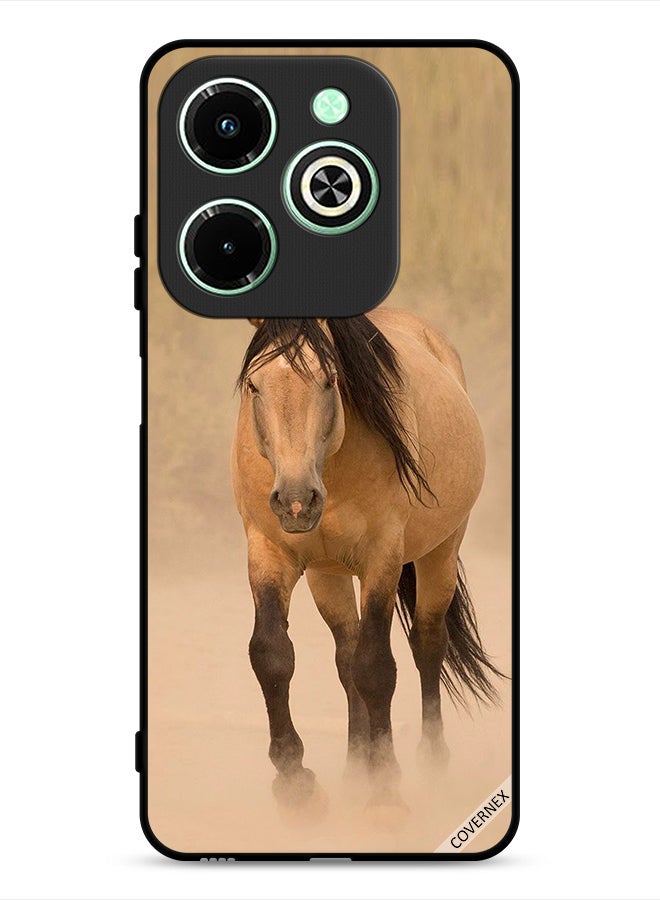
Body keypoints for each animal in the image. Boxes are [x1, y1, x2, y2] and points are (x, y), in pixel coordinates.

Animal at [231, 307, 501, 820]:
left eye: (329, 378)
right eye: (254, 385)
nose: (296, 501)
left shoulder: (382, 559)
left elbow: (377, 667)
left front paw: (386, 788)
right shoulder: (269, 553)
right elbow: (272, 655)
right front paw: (296, 782)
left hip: (440, 552)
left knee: (426, 645)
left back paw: (430, 763)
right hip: (327, 574)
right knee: (345, 655)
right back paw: (355, 769)